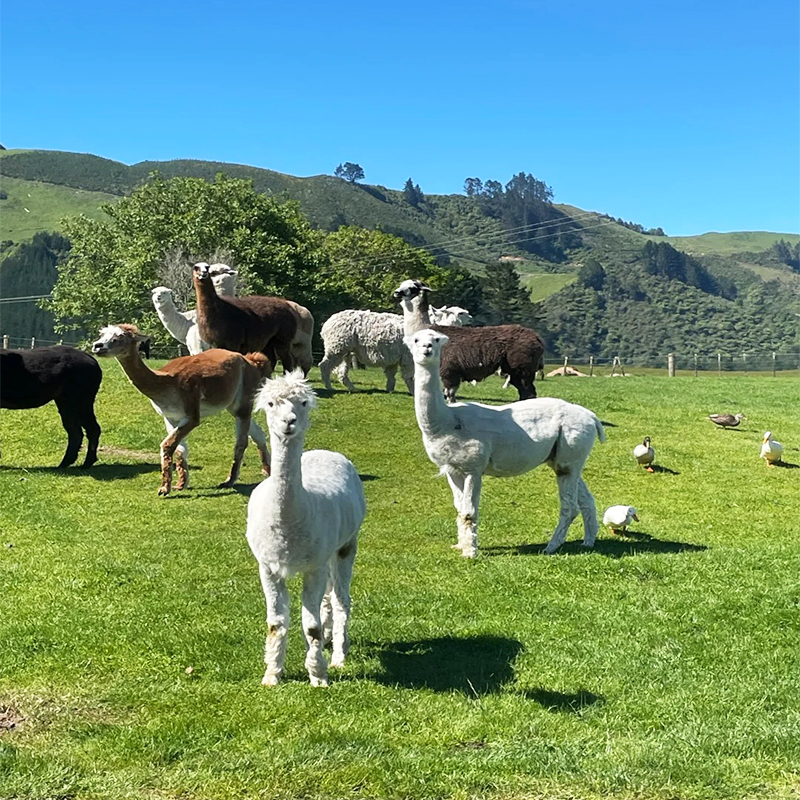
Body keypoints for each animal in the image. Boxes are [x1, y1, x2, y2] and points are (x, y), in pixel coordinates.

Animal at [245, 370, 368, 688]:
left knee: (340, 599)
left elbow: (310, 625)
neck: (288, 528)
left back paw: (338, 655)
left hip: (346, 544)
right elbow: (276, 623)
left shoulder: (314, 565)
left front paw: (318, 675)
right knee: (327, 598)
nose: (289, 422)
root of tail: (327, 451)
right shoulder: (268, 566)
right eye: (271, 403)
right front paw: (272, 675)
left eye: (302, 402)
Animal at [406, 328, 608, 560]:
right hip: (565, 459)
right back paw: (588, 541)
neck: (447, 421)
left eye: (436, 339)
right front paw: (461, 545)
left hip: (570, 453)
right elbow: (459, 508)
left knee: (570, 507)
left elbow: (468, 512)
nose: (427, 348)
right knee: (587, 500)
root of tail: (591, 417)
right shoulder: (452, 469)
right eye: (416, 339)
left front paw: (470, 552)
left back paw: (551, 546)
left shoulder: (473, 467)